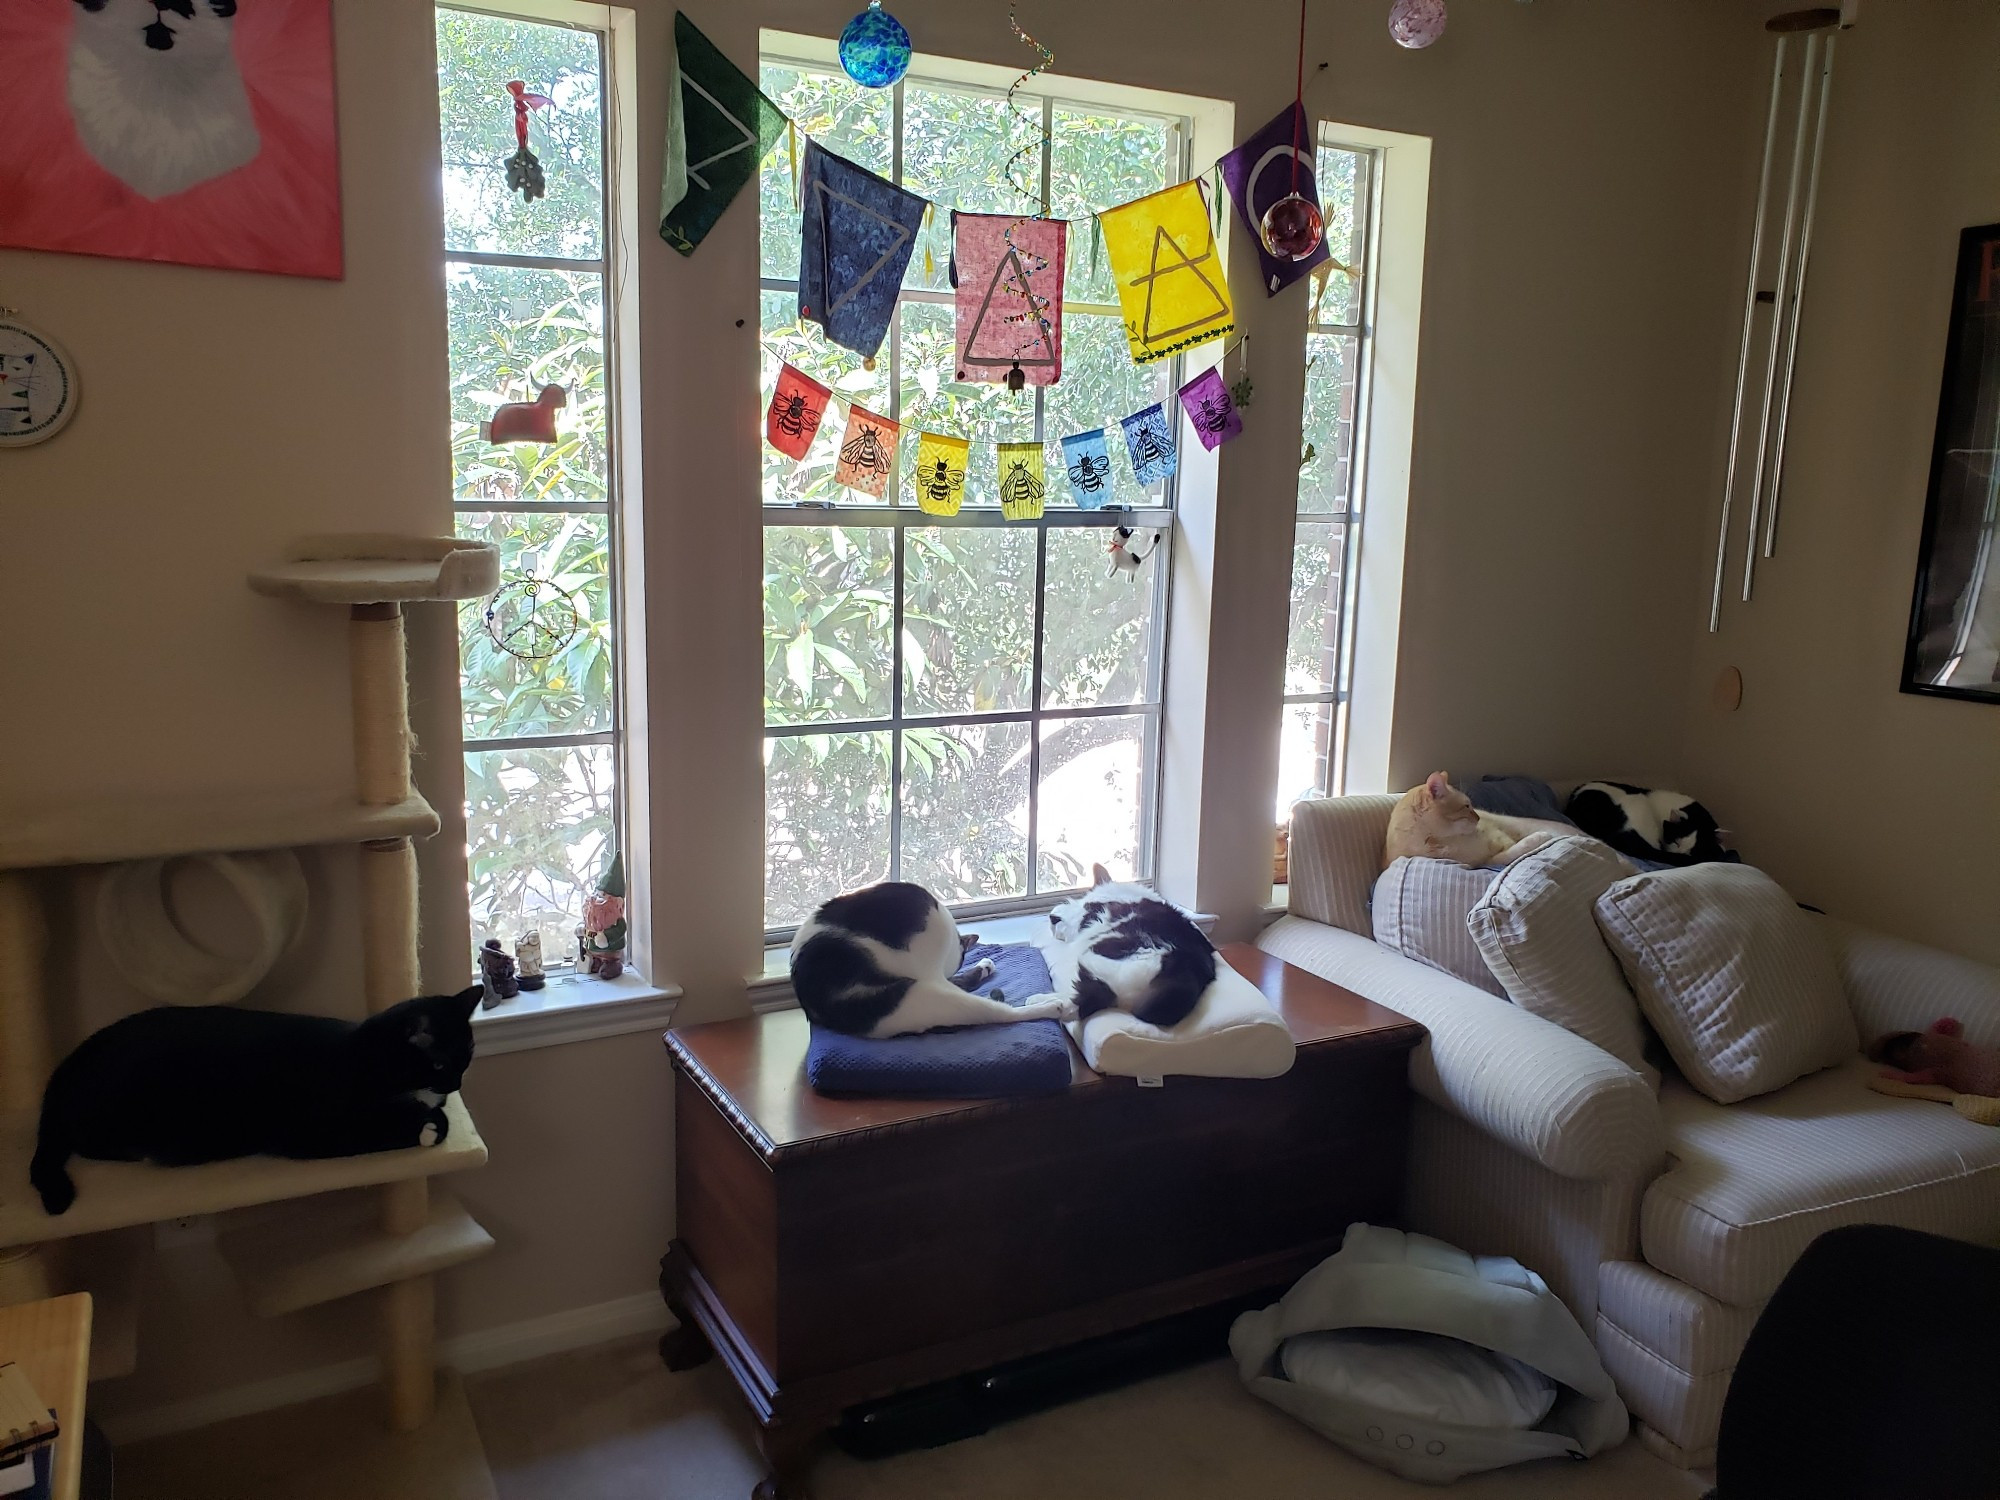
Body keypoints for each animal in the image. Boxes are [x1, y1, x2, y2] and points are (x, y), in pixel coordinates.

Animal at [1376, 776, 1576, 868]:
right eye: (1466, 806)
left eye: (1472, 805)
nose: (1478, 818)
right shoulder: (1485, 861)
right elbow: (1509, 854)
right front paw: (1538, 839)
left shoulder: (1498, 838)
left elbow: (1512, 846)